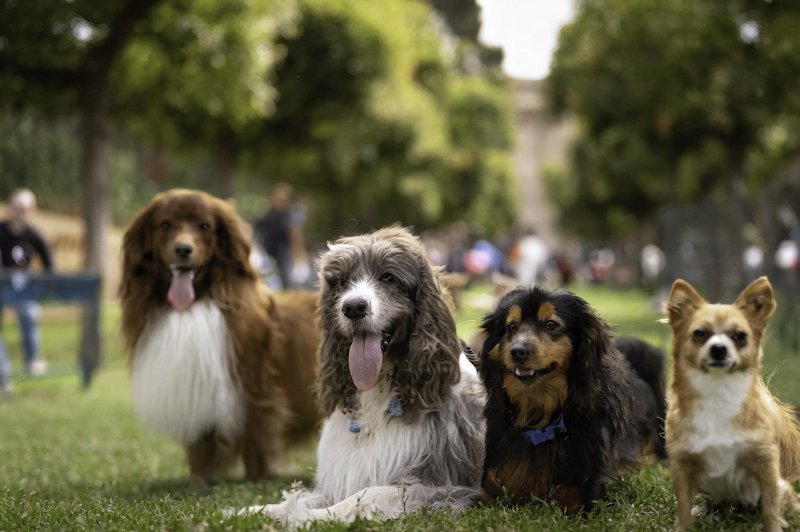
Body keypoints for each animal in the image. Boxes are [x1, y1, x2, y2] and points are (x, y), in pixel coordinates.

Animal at [119, 190, 318, 482]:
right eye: (165, 224)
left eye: (204, 226)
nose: (183, 249)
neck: (196, 303)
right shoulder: (194, 389)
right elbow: (199, 444)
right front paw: (200, 479)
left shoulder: (253, 384)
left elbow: (255, 433)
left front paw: (255, 477)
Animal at [478, 284, 664, 512]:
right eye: (511, 327)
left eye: (550, 324)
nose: (518, 351)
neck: (541, 414)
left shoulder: (589, 482)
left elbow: (571, 494)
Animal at [664, 276, 800, 528]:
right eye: (700, 333)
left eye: (740, 336)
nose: (719, 349)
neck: (717, 392)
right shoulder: (681, 464)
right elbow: (683, 506)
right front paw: (683, 526)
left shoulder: (766, 462)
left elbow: (771, 507)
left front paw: (773, 526)